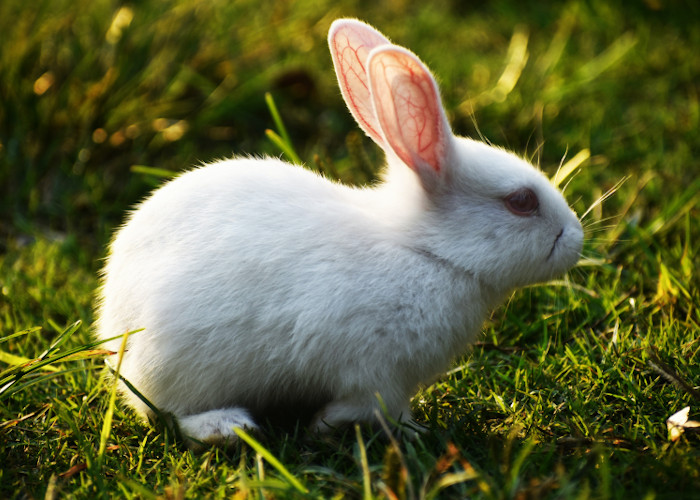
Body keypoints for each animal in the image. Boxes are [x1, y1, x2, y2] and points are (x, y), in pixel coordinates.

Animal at [95, 18, 584, 447]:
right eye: (521, 201)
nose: (577, 238)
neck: (425, 251)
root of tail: (113, 325)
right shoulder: (377, 373)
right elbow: (374, 407)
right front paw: (369, 429)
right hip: (176, 365)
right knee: (167, 412)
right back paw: (227, 428)